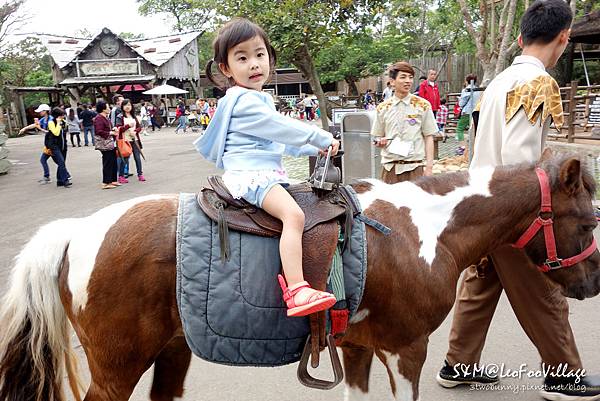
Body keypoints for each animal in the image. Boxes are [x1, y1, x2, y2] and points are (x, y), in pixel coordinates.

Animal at [1, 153, 600, 400]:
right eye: (590, 220)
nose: (592, 283)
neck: (425, 230)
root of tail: (77, 232)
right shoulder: (407, 349)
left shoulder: (357, 348)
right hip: (117, 368)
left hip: (171, 352)